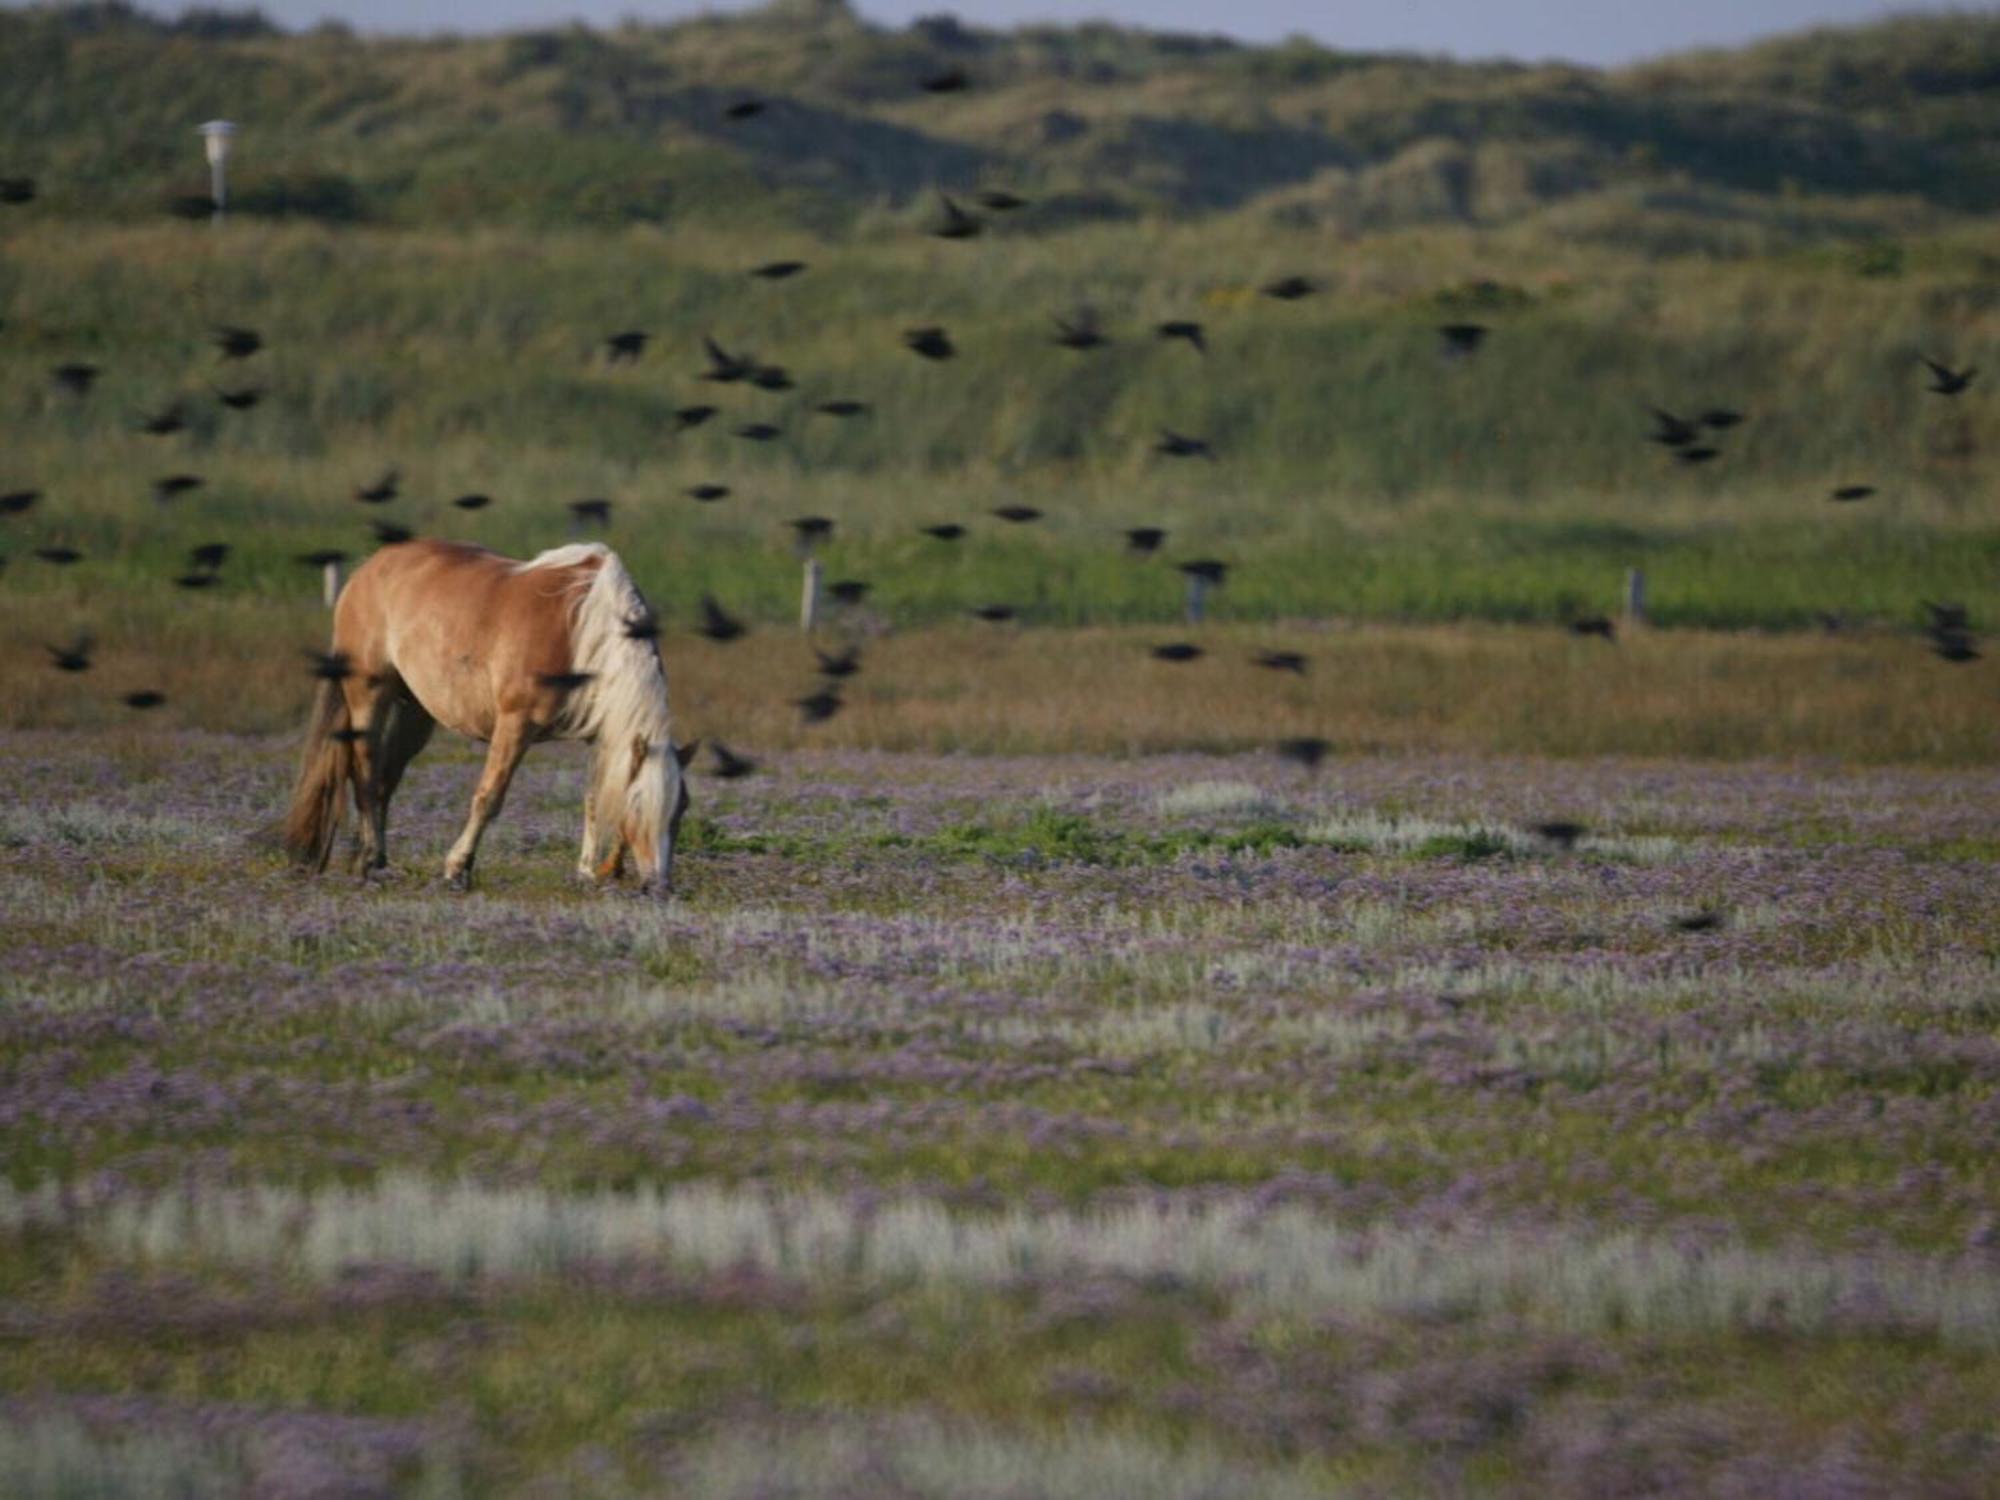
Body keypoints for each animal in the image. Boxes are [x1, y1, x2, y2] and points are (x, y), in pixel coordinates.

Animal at [286, 540, 696, 892]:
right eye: (640, 805)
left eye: (682, 808)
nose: (659, 886)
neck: (581, 629)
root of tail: (367, 570)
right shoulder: (516, 724)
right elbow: (489, 796)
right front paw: (457, 868)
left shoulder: (599, 735)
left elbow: (594, 799)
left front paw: (587, 873)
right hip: (368, 695)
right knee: (365, 772)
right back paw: (370, 858)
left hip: (414, 713)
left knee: (386, 777)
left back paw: (374, 859)